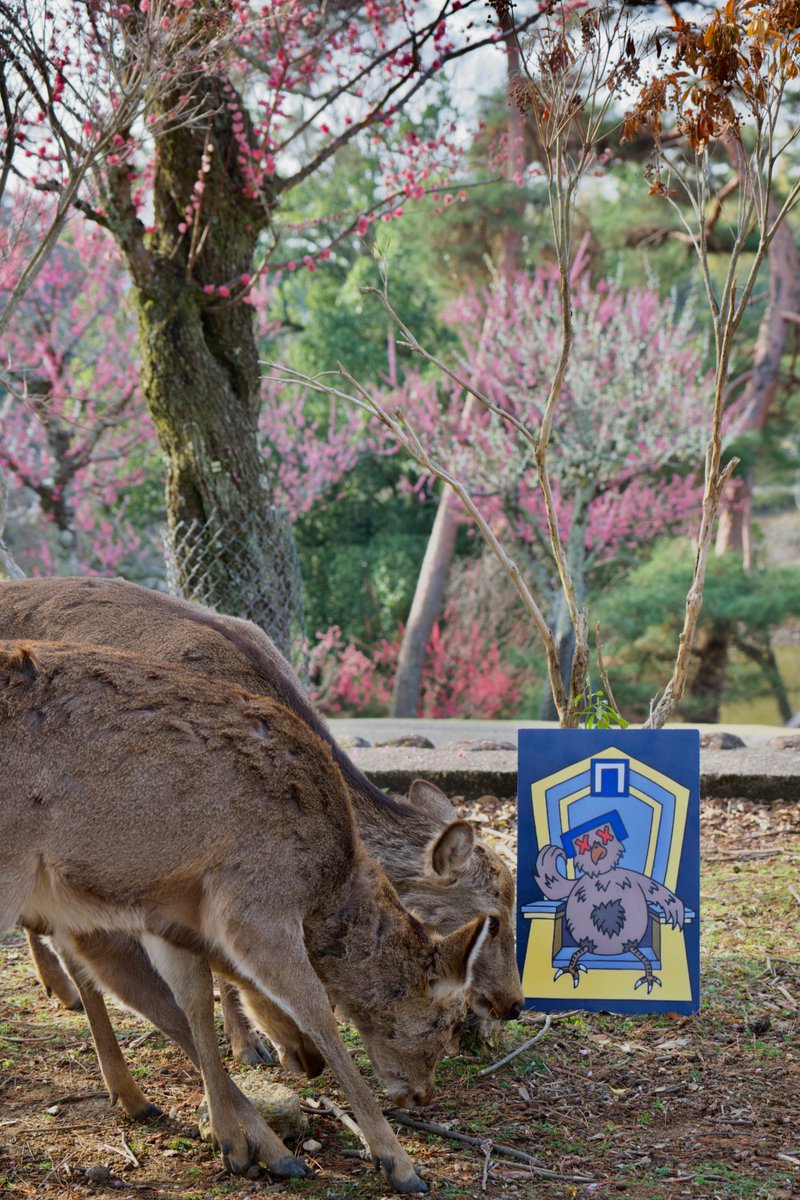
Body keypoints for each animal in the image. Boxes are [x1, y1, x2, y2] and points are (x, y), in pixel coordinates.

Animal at [0, 639, 496, 1193]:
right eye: (444, 1023)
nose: (423, 1095)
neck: (324, 884)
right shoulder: (256, 901)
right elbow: (316, 1009)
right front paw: (398, 1163)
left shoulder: (164, 912)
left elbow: (191, 1001)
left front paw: (240, 1146)